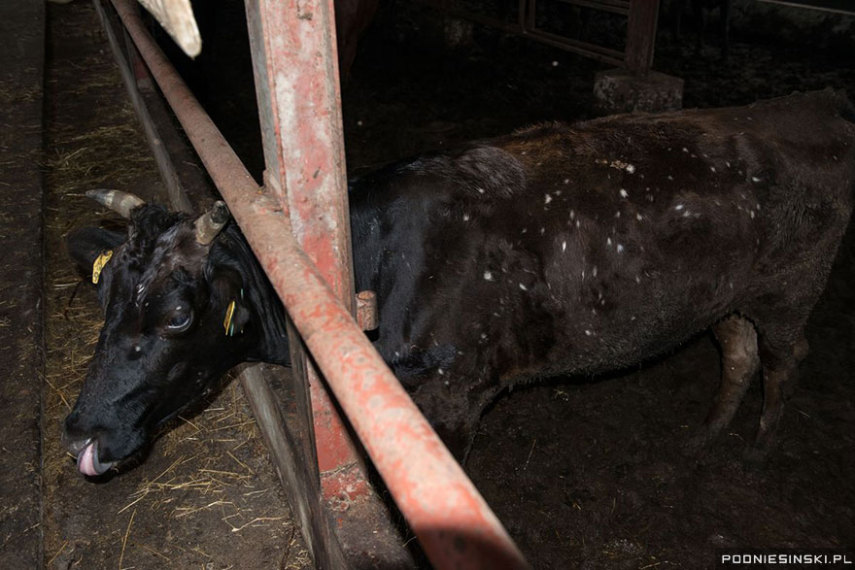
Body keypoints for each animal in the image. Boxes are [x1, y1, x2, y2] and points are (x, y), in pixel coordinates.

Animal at [65, 90, 855, 474]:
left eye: (176, 315)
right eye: (104, 295)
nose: (81, 430)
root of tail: (806, 105)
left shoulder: (452, 396)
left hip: (791, 289)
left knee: (785, 359)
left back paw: (756, 451)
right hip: (725, 297)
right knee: (737, 351)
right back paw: (706, 436)